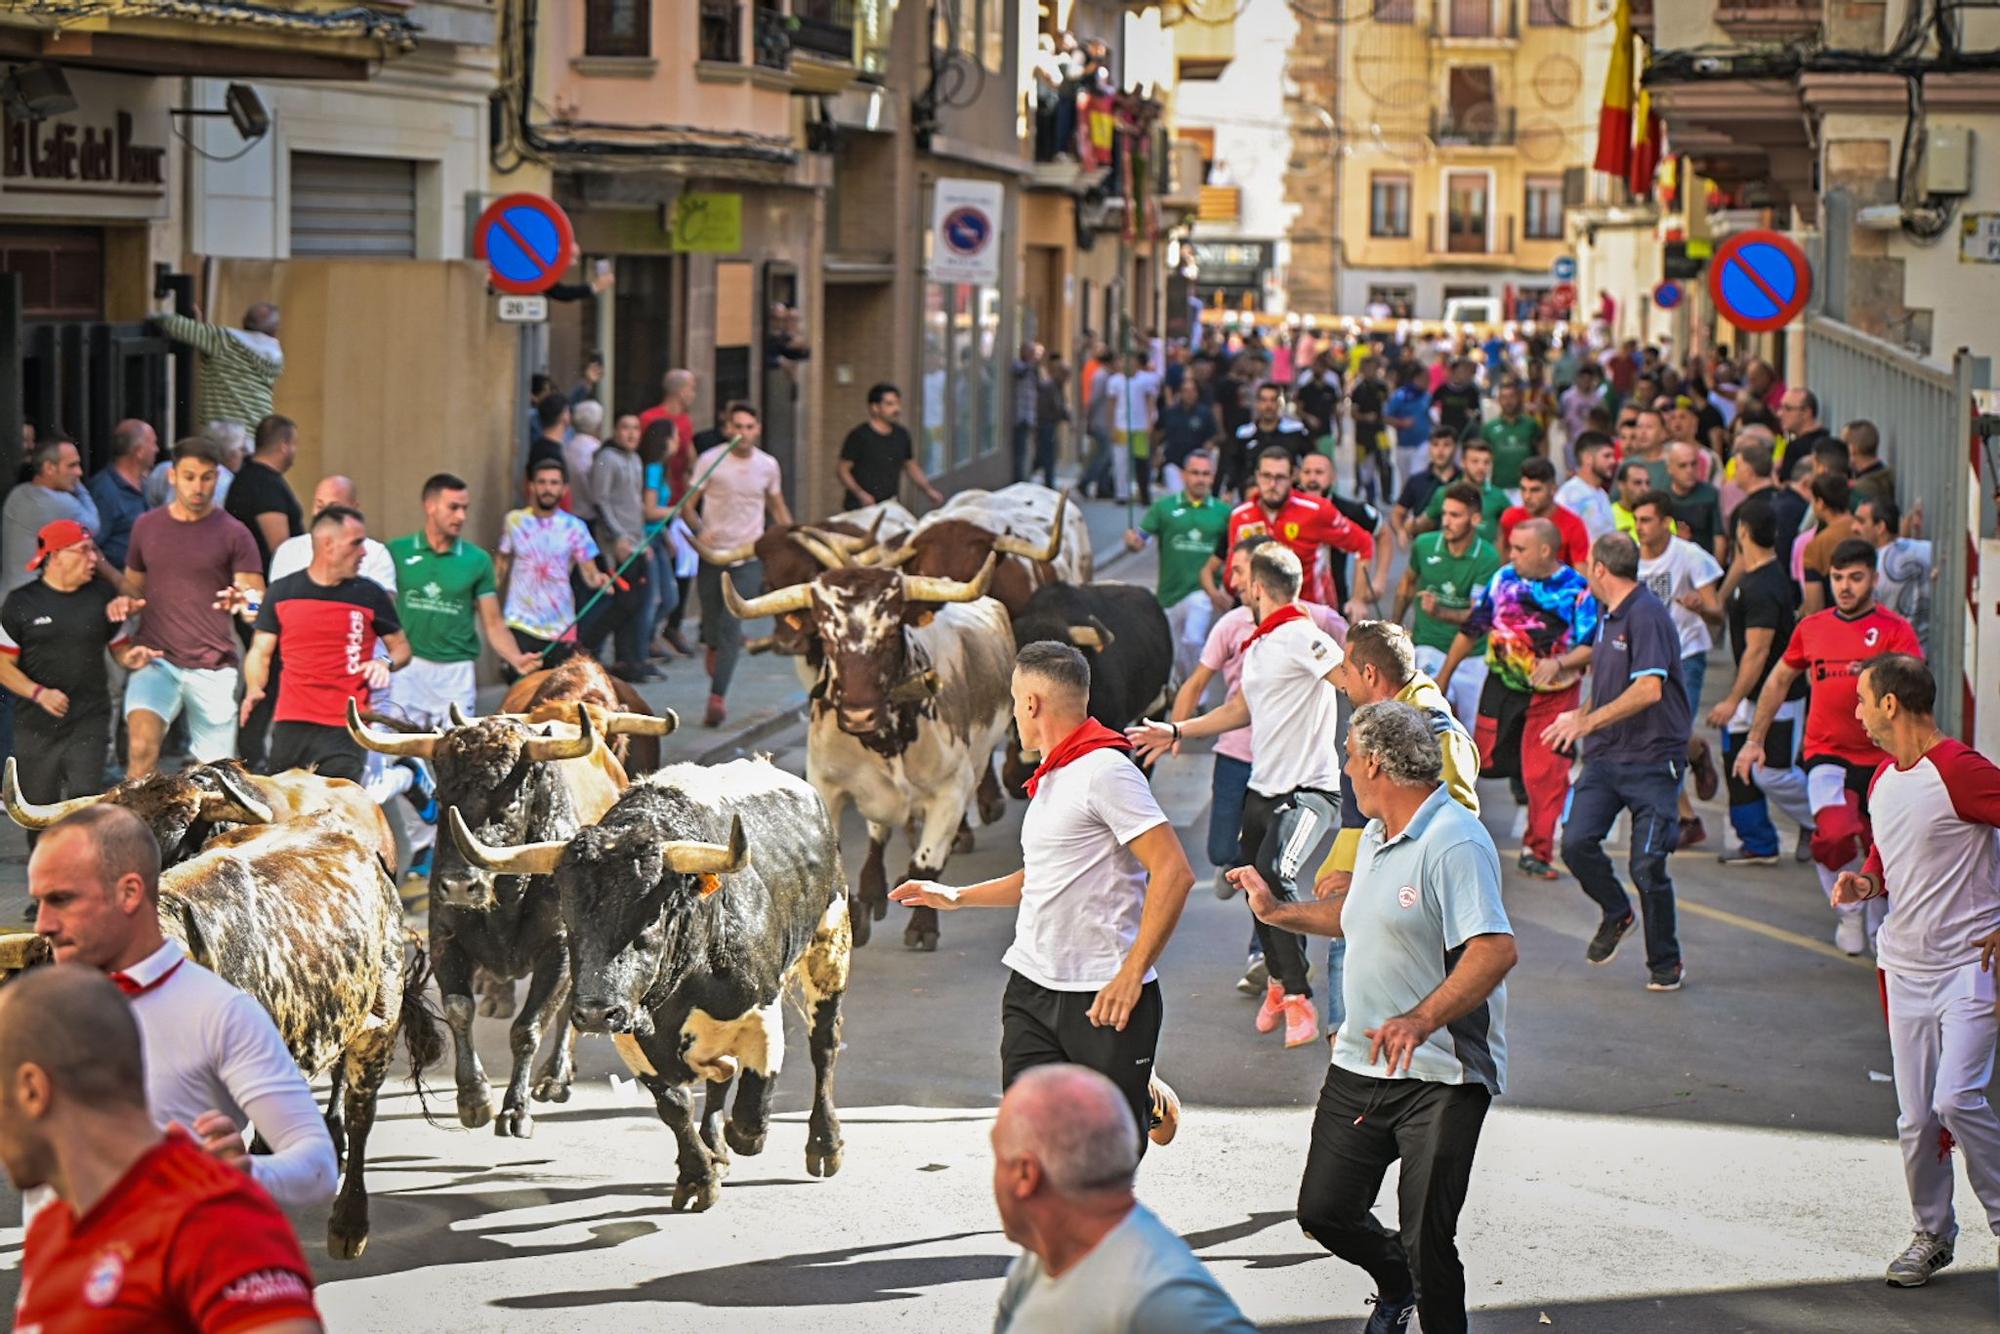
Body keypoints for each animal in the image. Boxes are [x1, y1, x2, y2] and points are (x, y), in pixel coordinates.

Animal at [446, 756, 852, 1216]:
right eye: (569, 915)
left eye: (652, 918)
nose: (594, 1012)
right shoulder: (630, 1032)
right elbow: (674, 1105)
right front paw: (698, 1176)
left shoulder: (760, 1011)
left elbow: (752, 1105)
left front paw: (738, 1141)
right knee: (721, 1076)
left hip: (831, 944)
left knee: (824, 1045)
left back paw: (824, 1144)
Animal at [720, 560, 1016, 956]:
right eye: (827, 639)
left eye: (889, 636)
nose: (859, 715)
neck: (884, 742)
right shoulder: (827, 785)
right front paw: (856, 916)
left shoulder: (951, 791)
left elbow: (926, 860)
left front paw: (922, 924)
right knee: (878, 833)